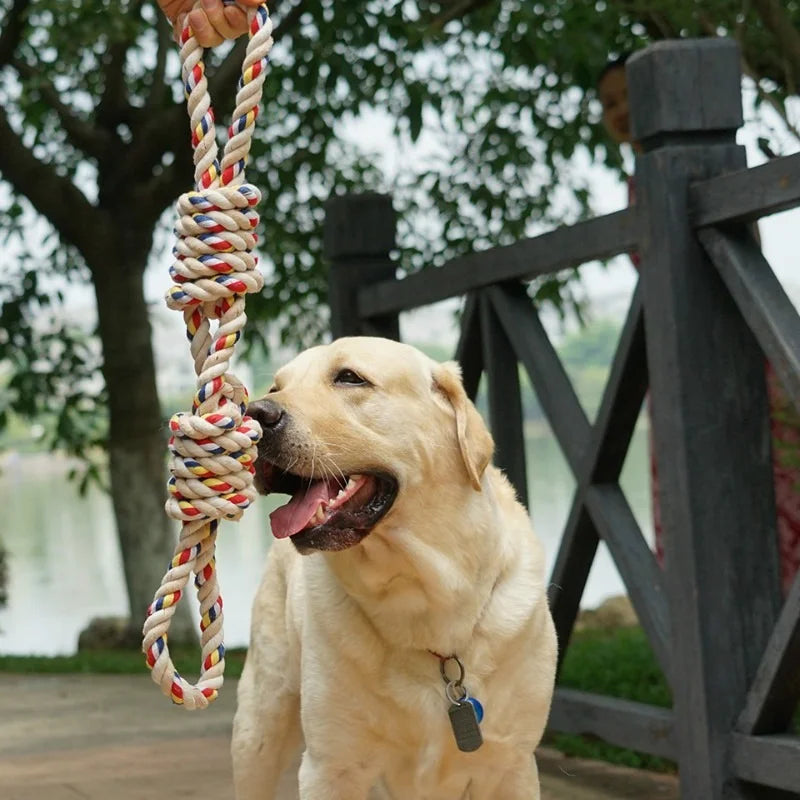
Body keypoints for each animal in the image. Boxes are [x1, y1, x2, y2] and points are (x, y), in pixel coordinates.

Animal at [231, 338, 556, 800]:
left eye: (350, 377)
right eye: (277, 386)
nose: (255, 414)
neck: (423, 599)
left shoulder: (509, 767)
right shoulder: (331, 768)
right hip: (260, 725)